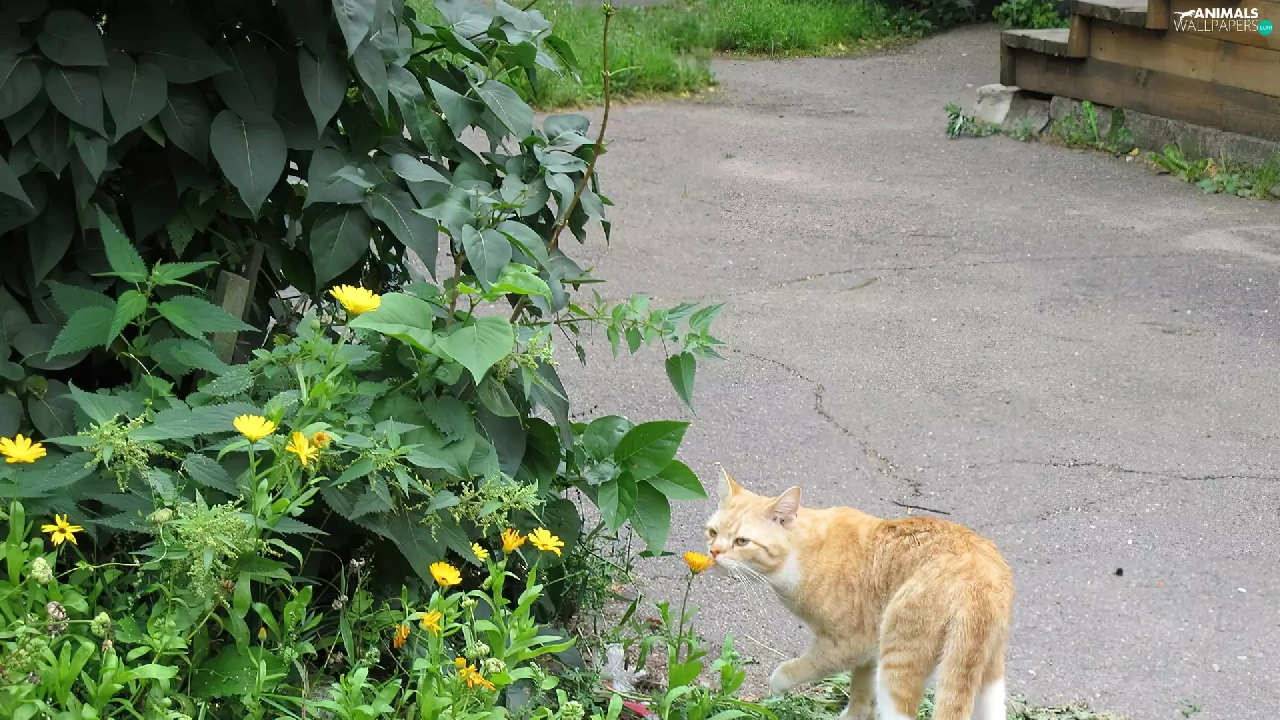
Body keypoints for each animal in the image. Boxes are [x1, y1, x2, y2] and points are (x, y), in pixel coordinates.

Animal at [704, 465, 1014, 720]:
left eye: (742, 541)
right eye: (712, 532)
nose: (714, 552)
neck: (803, 554)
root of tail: (980, 578)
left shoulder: (848, 644)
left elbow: (797, 669)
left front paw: (777, 683)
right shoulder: (869, 652)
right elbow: (861, 692)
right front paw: (855, 714)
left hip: (898, 660)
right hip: (987, 673)